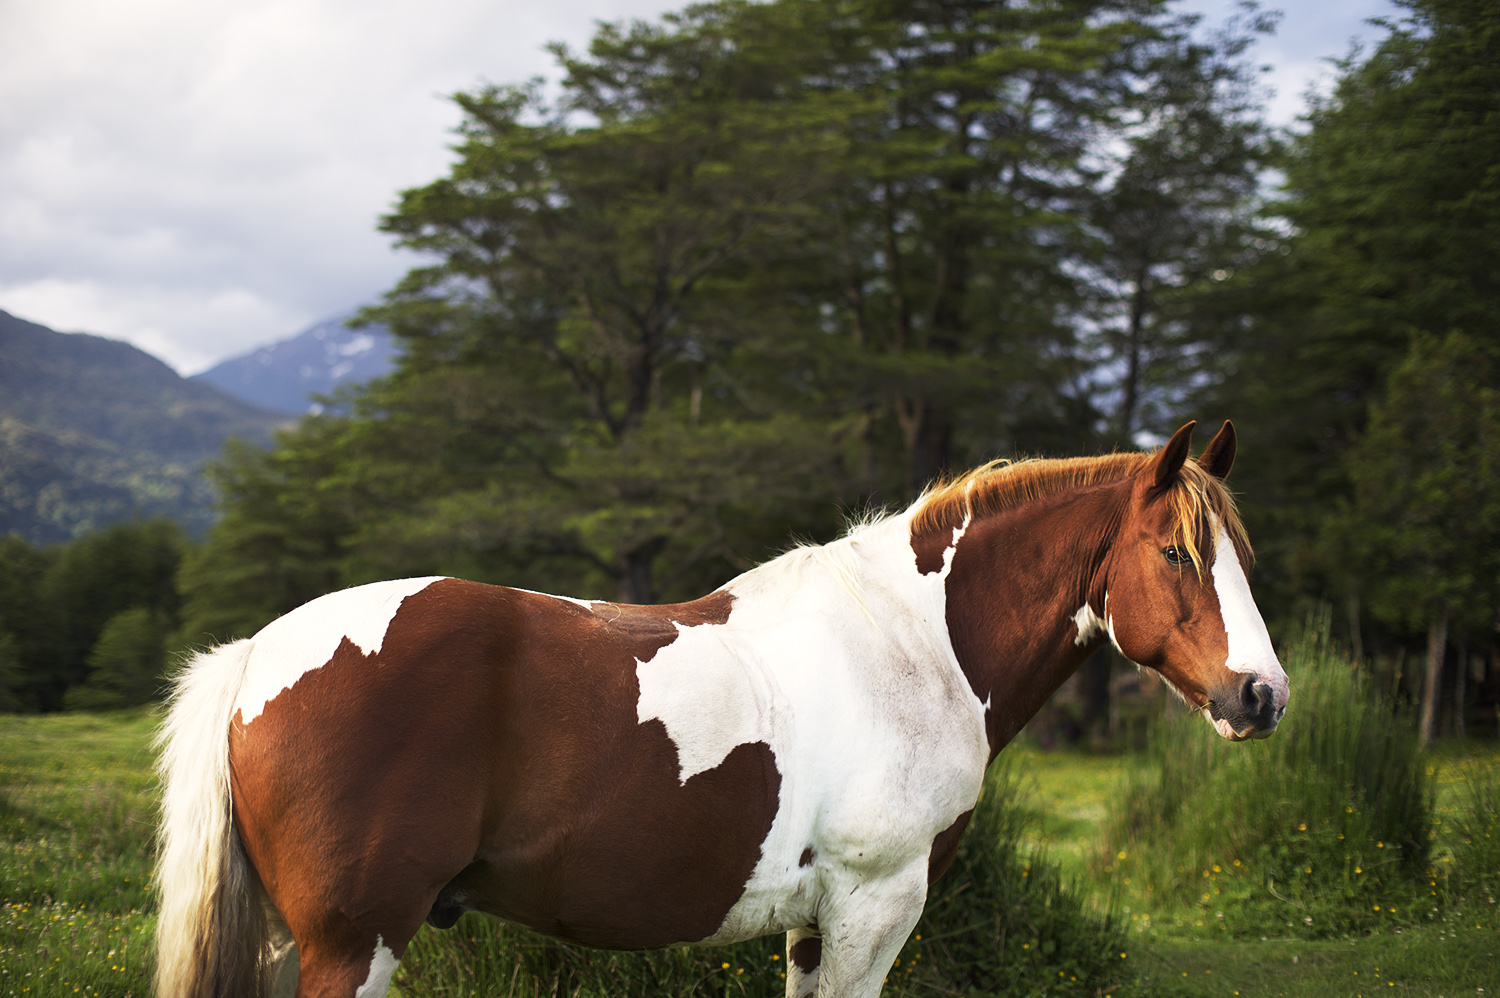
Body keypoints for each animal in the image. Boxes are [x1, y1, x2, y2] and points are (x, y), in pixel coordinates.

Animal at [158, 417, 1296, 996]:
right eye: (1176, 553)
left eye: (1238, 552)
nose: (1263, 695)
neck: (914, 643)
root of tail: (257, 656)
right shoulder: (875, 905)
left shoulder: (816, 922)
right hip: (355, 944)